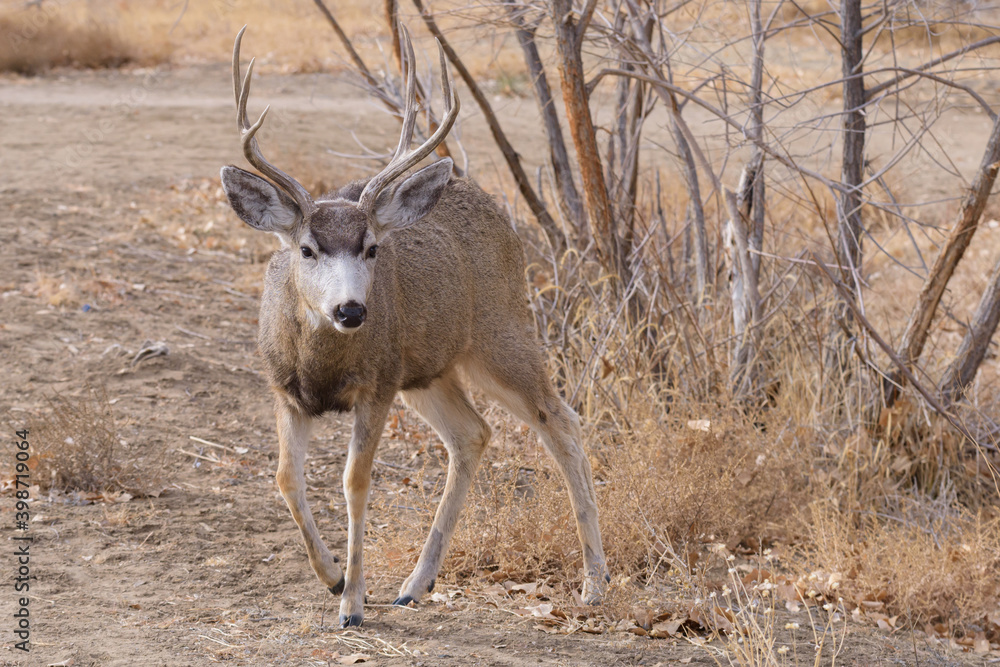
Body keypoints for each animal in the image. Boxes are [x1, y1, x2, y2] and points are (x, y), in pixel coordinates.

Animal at [219, 26, 609, 628]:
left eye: (372, 248)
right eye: (306, 249)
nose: (351, 311)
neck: (322, 367)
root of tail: (497, 209)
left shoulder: (377, 387)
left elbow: (355, 482)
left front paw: (352, 604)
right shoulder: (286, 391)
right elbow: (286, 478)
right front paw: (332, 577)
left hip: (501, 333)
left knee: (560, 419)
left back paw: (594, 583)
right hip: (428, 371)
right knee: (473, 433)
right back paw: (415, 585)